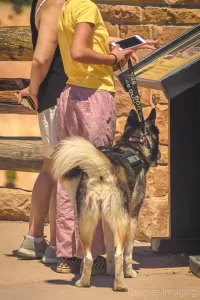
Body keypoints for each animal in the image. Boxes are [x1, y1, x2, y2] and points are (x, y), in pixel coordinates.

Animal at [51, 109, 159, 292]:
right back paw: (120, 284)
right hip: (121, 221)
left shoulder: (106, 220)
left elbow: (108, 248)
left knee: (88, 257)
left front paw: (109, 271)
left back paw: (84, 282)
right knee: (119, 254)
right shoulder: (132, 217)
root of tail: (104, 168)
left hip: (86, 222)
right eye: (158, 133)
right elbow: (128, 252)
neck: (134, 143)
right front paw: (129, 272)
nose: (160, 155)